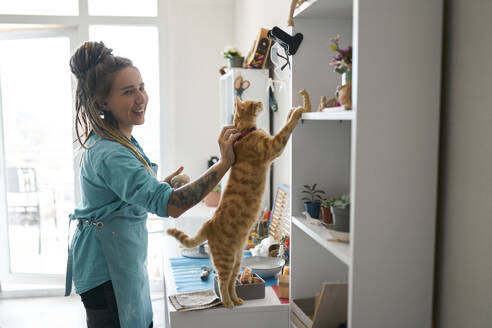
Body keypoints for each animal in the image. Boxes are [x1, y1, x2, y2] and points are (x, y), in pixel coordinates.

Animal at [167, 89, 310, 308]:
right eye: (253, 102)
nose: (262, 102)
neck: (245, 133)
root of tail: (208, 224)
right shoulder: (273, 147)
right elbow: (285, 129)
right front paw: (296, 113)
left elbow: (285, 122)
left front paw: (291, 110)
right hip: (225, 260)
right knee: (223, 281)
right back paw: (227, 302)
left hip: (237, 260)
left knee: (232, 281)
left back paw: (237, 298)